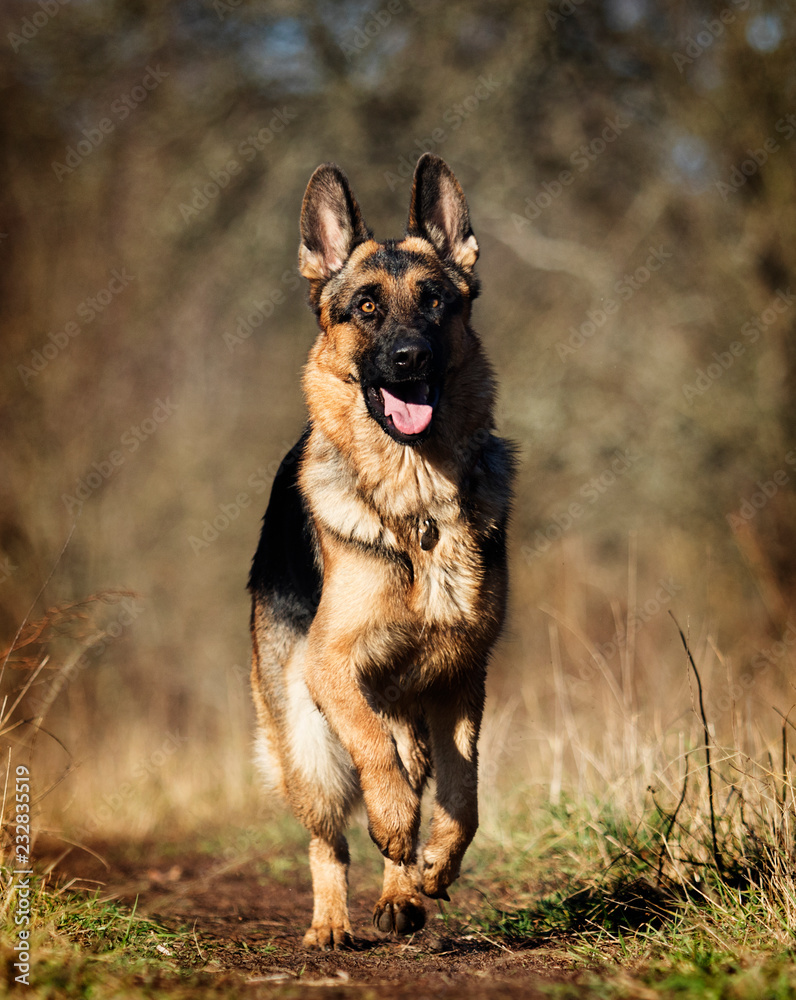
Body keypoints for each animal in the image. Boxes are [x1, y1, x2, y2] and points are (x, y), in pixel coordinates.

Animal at [246, 152, 516, 948]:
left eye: (435, 301)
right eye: (365, 307)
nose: (409, 358)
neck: (416, 506)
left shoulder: (461, 678)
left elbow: (465, 792)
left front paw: (434, 863)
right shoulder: (333, 669)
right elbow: (370, 752)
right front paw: (395, 825)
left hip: (414, 721)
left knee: (413, 770)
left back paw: (403, 894)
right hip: (304, 743)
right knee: (329, 833)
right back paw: (332, 922)